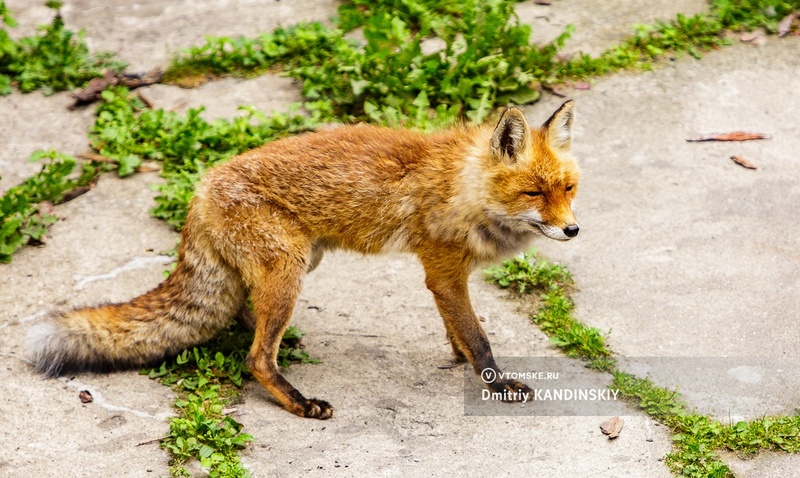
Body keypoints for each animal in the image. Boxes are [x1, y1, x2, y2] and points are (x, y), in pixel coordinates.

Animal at [29, 101, 580, 418]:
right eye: (534, 192)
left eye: (569, 189)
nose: (573, 230)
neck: (463, 186)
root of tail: (199, 191)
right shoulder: (442, 270)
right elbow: (479, 339)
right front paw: (496, 383)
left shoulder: (448, 277)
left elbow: (459, 331)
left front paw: (458, 357)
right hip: (288, 269)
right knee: (255, 358)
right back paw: (297, 400)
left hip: (296, 265)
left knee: (247, 318)